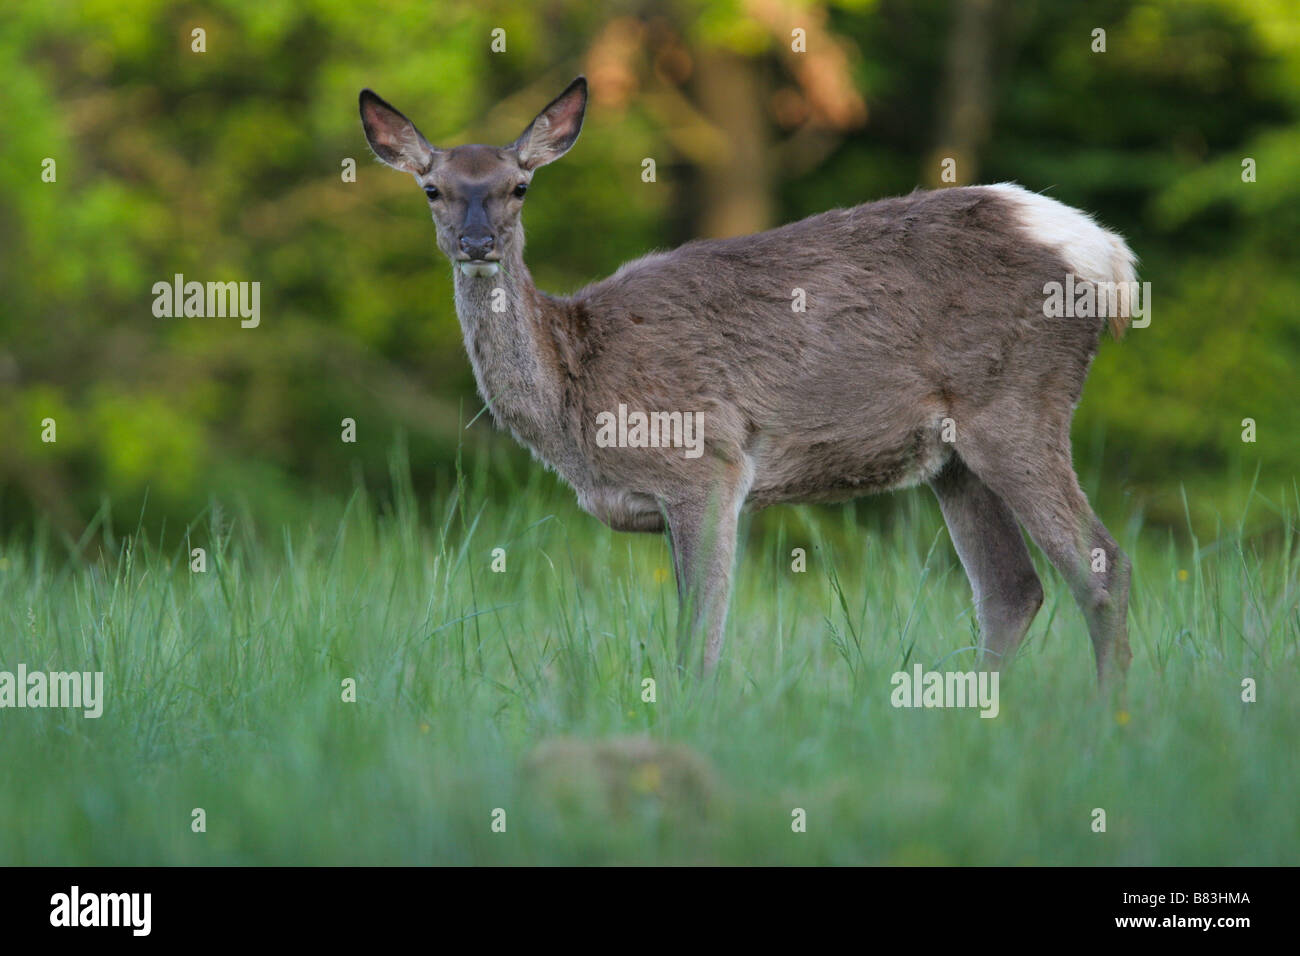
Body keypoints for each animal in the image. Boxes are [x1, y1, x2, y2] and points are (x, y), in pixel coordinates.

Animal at [361, 78, 1133, 686]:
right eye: (432, 189)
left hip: (1016, 403)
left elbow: (699, 639)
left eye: (519, 187)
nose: (477, 244)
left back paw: (1108, 724)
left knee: (1103, 568)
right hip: (954, 457)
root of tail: (1110, 258)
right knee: (1012, 590)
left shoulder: (705, 461)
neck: (574, 396)